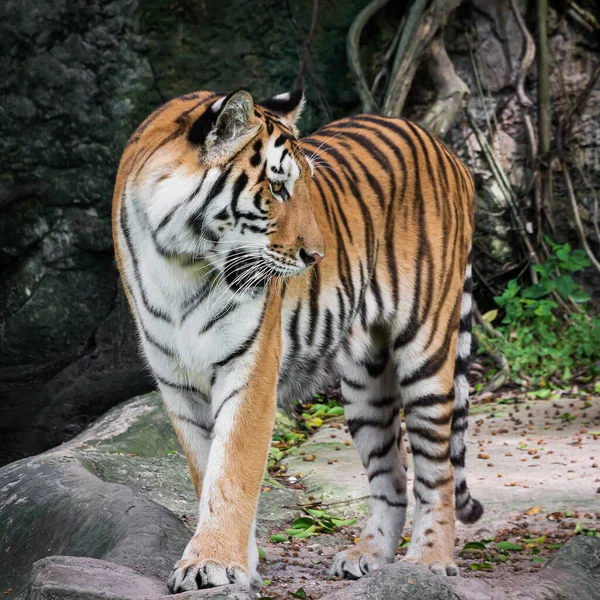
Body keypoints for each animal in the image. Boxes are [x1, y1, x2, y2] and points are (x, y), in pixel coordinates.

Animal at [112, 88, 482, 592]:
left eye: (304, 185)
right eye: (277, 188)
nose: (316, 256)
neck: (180, 262)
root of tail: (446, 149)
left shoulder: (249, 368)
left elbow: (233, 471)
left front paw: (212, 564)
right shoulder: (178, 384)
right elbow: (206, 471)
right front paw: (238, 564)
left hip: (426, 351)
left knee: (437, 471)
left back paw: (427, 563)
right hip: (366, 383)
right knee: (392, 476)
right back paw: (367, 557)